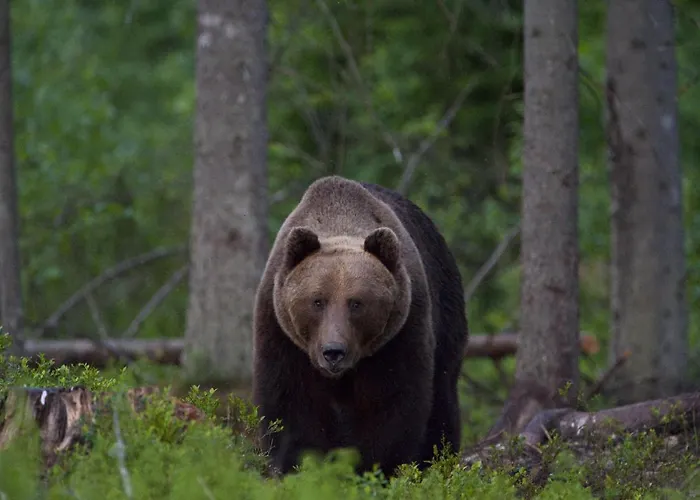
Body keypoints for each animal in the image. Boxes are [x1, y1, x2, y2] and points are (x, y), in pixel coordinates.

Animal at [252, 175, 468, 476]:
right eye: (317, 301)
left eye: (356, 303)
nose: (333, 352)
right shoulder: (281, 333)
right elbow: (291, 404)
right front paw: (300, 466)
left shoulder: (399, 334)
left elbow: (391, 406)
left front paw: (377, 469)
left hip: (446, 312)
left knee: (443, 396)